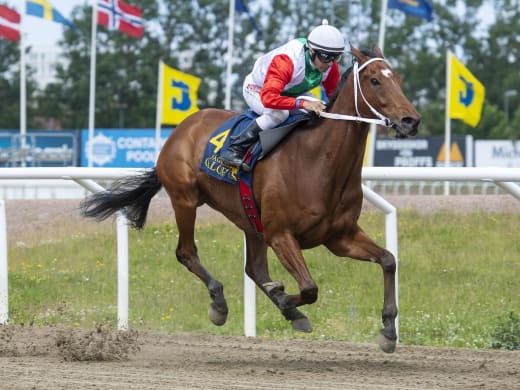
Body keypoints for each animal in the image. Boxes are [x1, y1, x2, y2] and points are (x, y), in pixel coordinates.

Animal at [82, 45, 422, 354]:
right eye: (375, 80)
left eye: (399, 79)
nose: (411, 120)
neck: (317, 161)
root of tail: (182, 129)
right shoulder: (281, 234)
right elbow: (309, 288)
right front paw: (284, 297)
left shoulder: (340, 237)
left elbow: (388, 260)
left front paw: (388, 330)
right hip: (185, 199)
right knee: (186, 252)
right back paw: (220, 304)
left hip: (250, 221)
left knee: (254, 269)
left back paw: (289, 312)